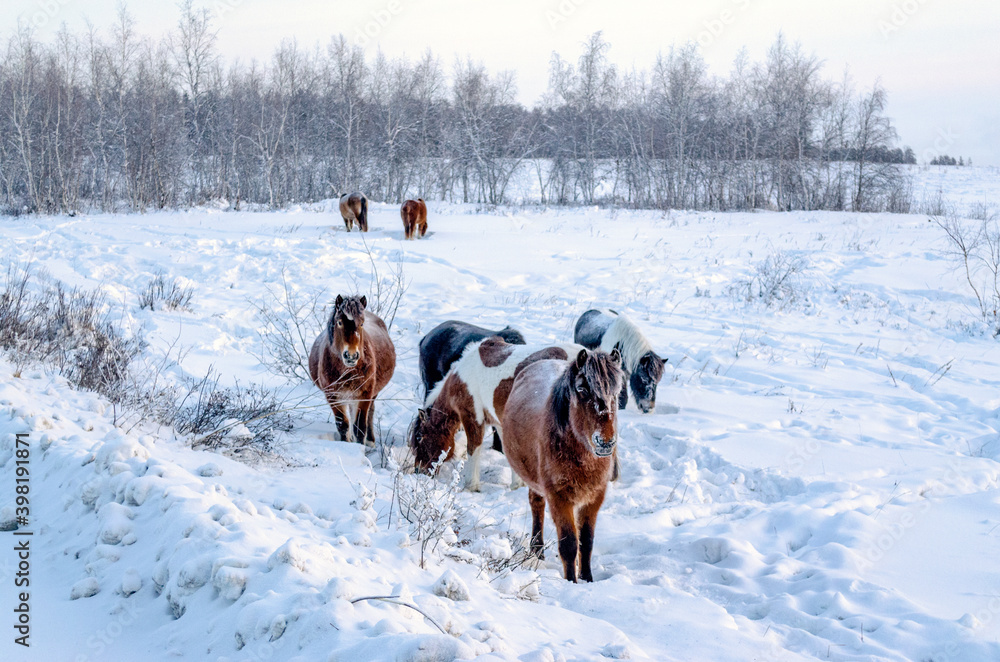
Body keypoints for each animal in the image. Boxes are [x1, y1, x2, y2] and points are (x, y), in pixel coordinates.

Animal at [309, 295, 395, 445]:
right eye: (339, 322)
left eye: (362, 324)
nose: (351, 356)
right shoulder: (334, 396)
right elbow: (343, 425)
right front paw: (347, 445)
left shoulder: (364, 395)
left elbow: (359, 427)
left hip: (370, 394)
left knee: (370, 412)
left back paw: (370, 441)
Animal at [409, 338, 580, 491]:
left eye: (420, 437)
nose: (419, 471)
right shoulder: (499, 422)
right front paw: (517, 485)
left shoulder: (472, 417)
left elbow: (473, 448)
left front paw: (471, 486)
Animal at [501, 348, 623, 582]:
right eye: (582, 388)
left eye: (617, 391)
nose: (605, 442)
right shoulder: (559, 497)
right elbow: (569, 545)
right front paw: (571, 582)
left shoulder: (594, 497)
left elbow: (586, 542)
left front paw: (587, 579)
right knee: (536, 506)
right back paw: (537, 550)